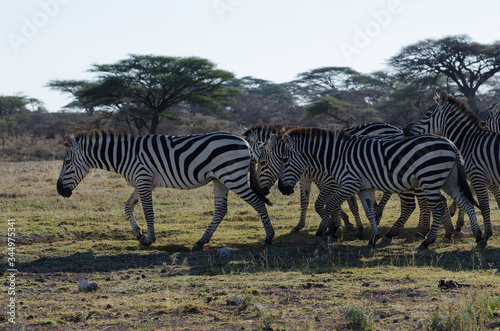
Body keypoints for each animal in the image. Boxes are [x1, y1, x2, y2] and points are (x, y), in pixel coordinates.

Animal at [57, 130, 276, 252]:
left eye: (66, 162)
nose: (59, 190)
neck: (125, 155)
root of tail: (246, 143)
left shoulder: (144, 179)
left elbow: (148, 211)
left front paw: (149, 239)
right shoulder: (143, 182)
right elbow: (128, 206)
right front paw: (139, 234)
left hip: (233, 177)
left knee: (257, 202)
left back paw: (269, 236)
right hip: (220, 179)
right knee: (221, 210)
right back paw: (200, 242)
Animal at [276, 128, 482, 250]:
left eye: (284, 160)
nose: (282, 189)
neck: (336, 156)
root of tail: (450, 143)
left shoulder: (349, 183)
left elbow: (328, 206)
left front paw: (322, 233)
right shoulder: (363, 188)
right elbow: (369, 213)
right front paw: (373, 239)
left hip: (430, 178)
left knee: (438, 207)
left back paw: (427, 241)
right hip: (448, 180)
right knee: (465, 202)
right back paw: (479, 237)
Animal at [406, 92, 500, 243]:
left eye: (427, 114)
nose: (406, 130)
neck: (471, 142)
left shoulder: (478, 176)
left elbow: (484, 206)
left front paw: (485, 235)